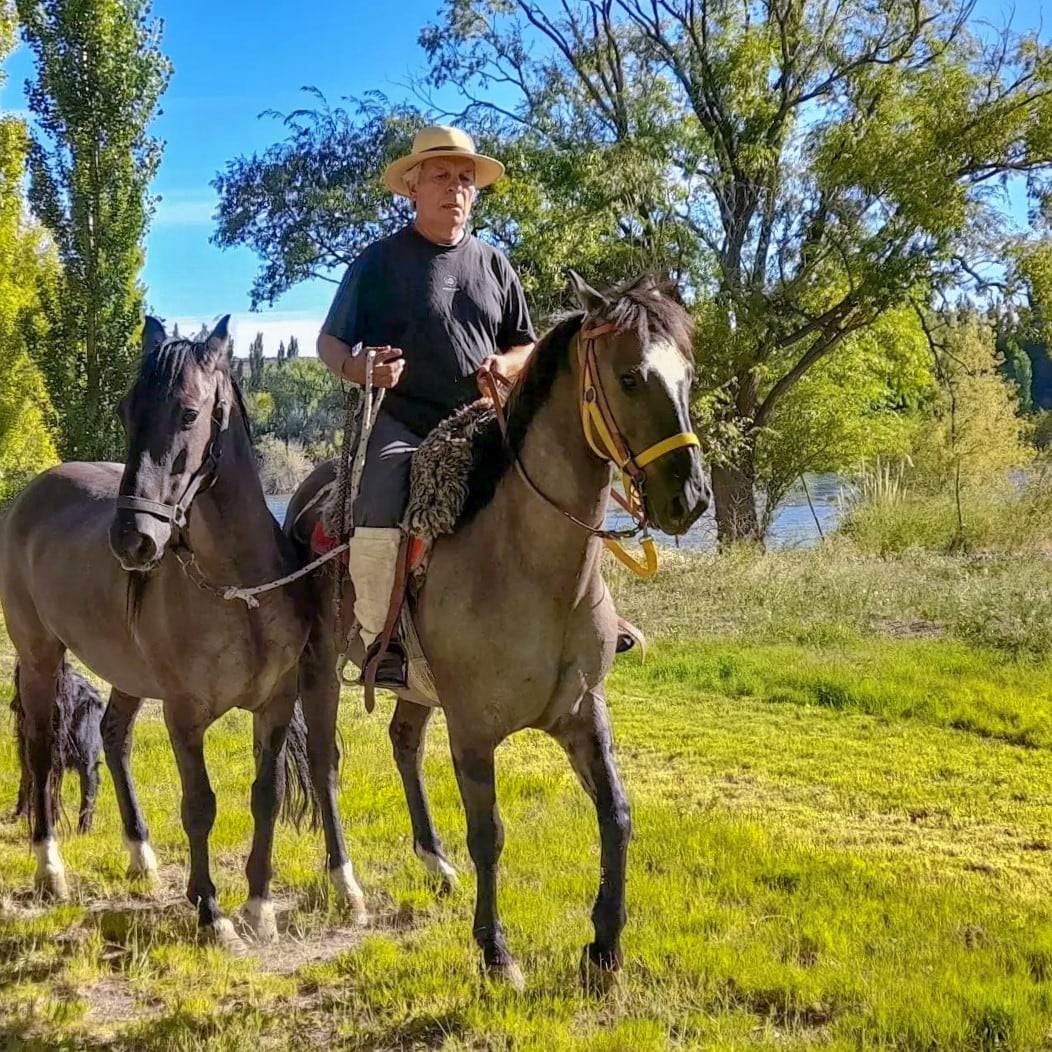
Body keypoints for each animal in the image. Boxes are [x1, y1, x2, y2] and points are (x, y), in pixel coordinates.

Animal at [0, 317, 361, 946]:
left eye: (189, 413)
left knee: (114, 738)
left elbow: (264, 796)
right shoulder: (184, 715)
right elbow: (200, 805)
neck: (238, 590)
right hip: (41, 658)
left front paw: (259, 905)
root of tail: (32, 493)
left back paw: (141, 854)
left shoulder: (274, 703)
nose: (132, 540)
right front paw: (212, 914)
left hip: (125, 674)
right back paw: (51, 870)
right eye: (127, 410)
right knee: (42, 751)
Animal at [288, 271, 711, 984]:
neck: (533, 570)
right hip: (318, 667)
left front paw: (605, 947)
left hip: (415, 687)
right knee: (326, 761)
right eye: (629, 377)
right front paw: (496, 953)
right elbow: (488, 834)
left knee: (404, 742)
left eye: (688, 375)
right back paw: (347, 882)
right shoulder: (473, 728)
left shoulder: (581, 711)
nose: (691, 497)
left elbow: (617, 814)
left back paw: (434, 862)